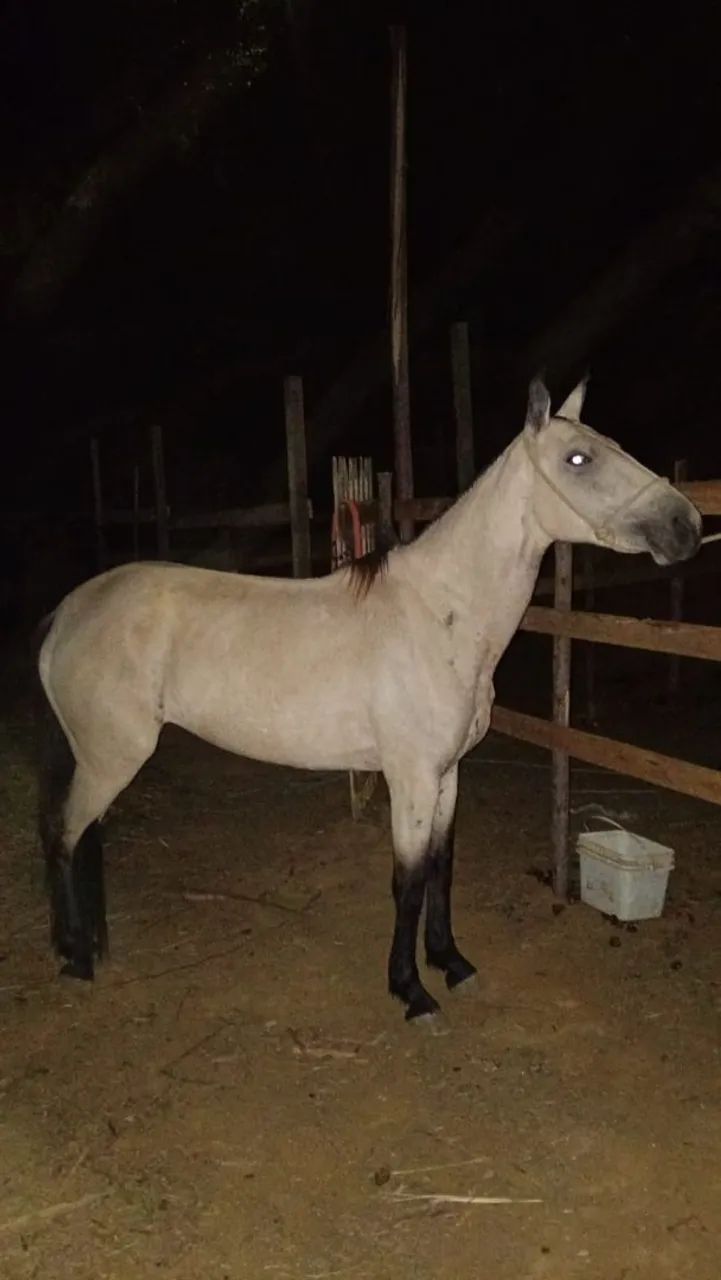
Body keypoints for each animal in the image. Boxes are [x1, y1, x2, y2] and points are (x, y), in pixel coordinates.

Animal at [35, 377, 701, 1022]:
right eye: (578, 458)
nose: (686, 525)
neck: (439, 614)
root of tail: (66, 615)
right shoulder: (410, 779)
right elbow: (407, 881)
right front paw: (411, 991)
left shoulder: (447, 774)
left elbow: (441, 869)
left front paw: (451, 963)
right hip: (111, 758)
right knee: (64, 834)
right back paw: (74, 958)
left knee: (83, 835)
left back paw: (90, 947)